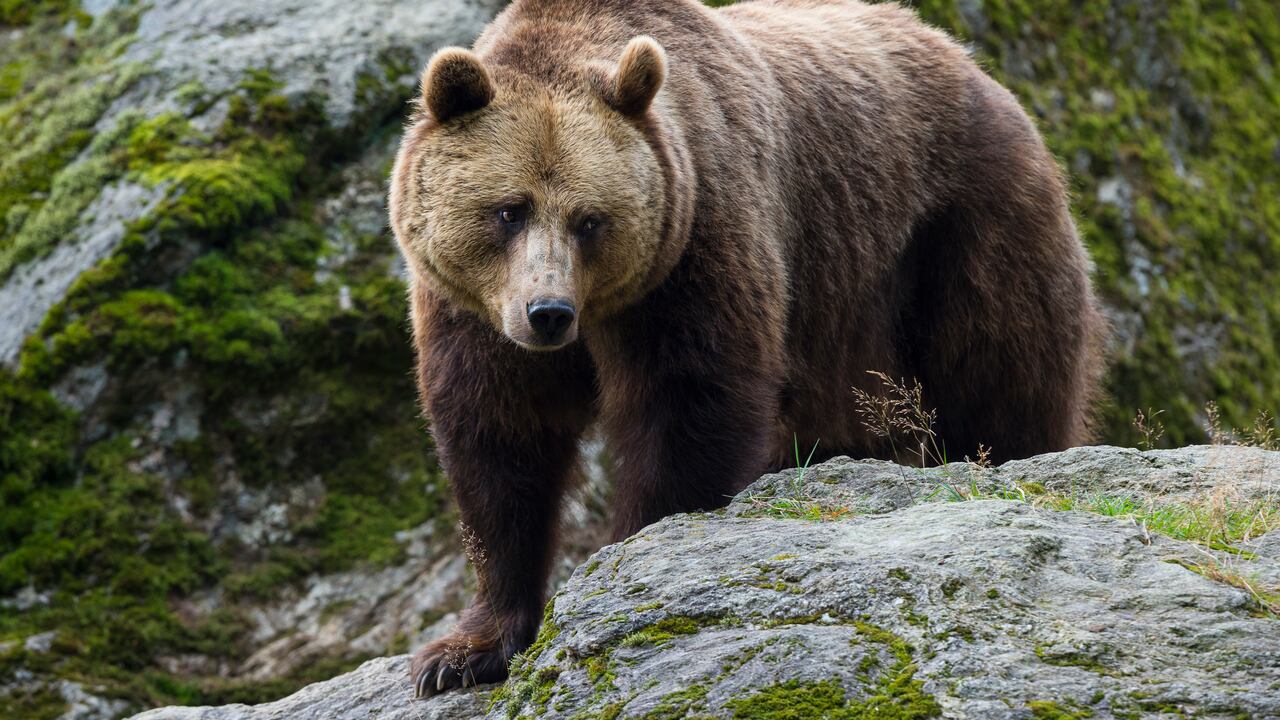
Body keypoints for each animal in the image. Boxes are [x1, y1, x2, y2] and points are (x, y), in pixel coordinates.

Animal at [388, 0, 1105, 695]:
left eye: (590, 220)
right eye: (509, 210)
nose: (549, 314)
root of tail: (974, 65)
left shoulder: (698, 237)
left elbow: (689, 402)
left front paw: (629, 557)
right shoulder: (473, 312)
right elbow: (500, 443)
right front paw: (462, 653)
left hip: (957, 231)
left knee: (1001, 380)